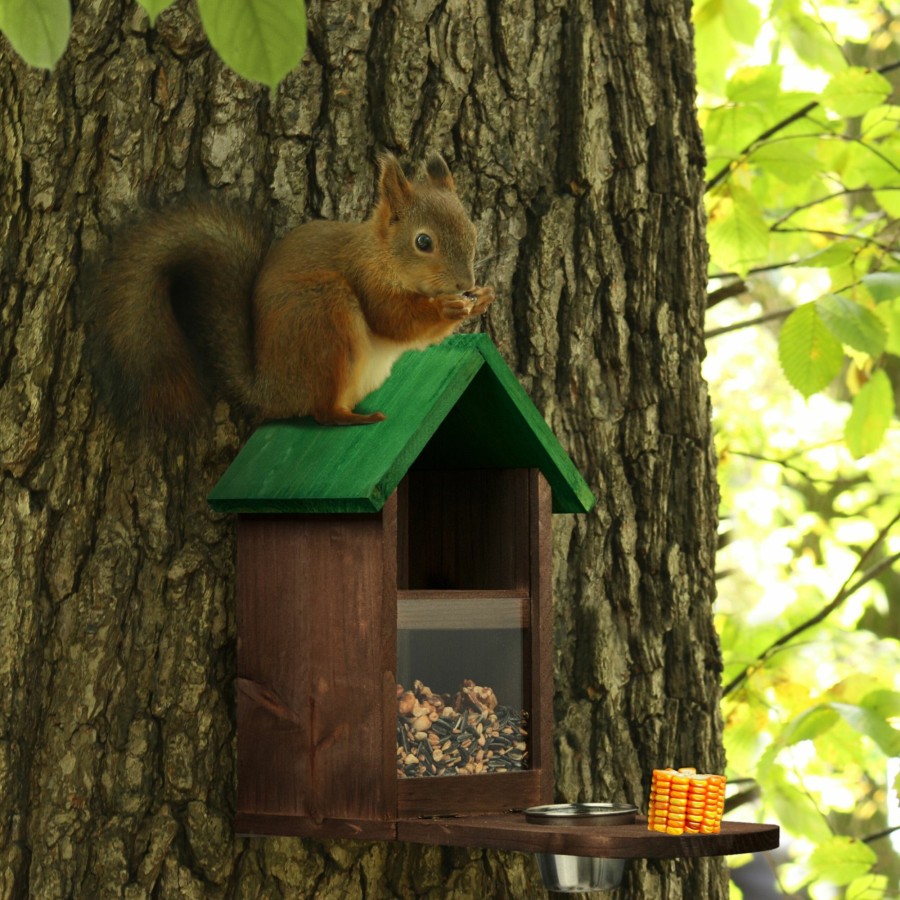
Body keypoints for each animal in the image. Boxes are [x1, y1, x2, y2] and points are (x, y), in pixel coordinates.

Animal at [89, 154, 496, 428]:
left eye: (473, 230)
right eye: (423, 242)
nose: (465, 284)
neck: (381, 253)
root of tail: (271, 390)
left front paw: (483, 298)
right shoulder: (366, 278)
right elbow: (394, 320)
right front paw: (448, 309)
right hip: (324, 316)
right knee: (322, 413)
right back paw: (354, 419)